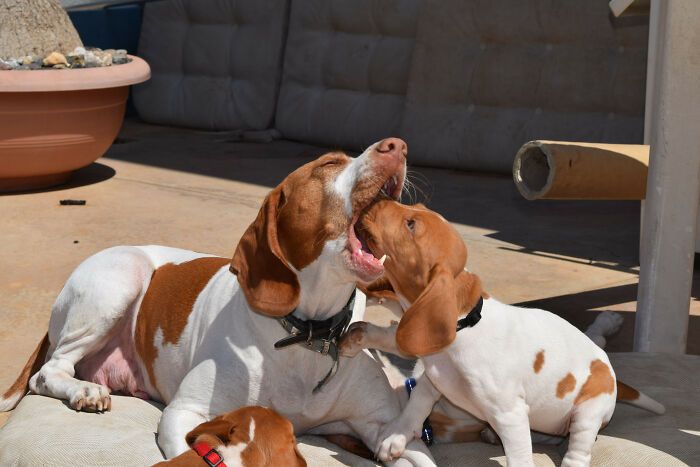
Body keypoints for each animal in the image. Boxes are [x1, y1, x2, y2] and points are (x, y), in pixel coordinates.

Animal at [342, 201, 664, 467]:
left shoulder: (510, 415)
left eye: (411, 224)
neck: (466, 327)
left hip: (588, 413)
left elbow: (520, 457)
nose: (377, 199)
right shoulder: (433, 382)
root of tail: (609, 368)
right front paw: (394, 437)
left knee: (577, 451)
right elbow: (413, 408)